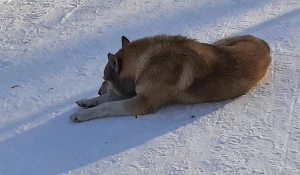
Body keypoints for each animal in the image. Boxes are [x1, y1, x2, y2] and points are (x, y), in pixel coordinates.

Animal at [69, 33, 270, 121]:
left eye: (105, 78)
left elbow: (108, 105)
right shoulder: (135, 91)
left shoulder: (143, 102)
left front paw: (83, 114)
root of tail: (265, 44)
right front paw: (88, 101)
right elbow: (109, 98)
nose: (98, 90)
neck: (145, 62)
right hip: (217, 43)